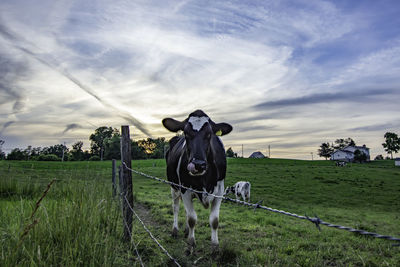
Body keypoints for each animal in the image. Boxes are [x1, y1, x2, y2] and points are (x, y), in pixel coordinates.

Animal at [162, 110, 233, 252]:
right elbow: (192, 219)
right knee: (176, 207)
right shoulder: (185, 189)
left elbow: (214, 220)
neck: (205, 179)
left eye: (209, 134)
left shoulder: (220, 190)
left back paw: (185, 231)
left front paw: (215, 246)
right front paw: (191, 244)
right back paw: (175, 230)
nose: (198, 164)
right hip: (174, 186)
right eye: (186, 133)